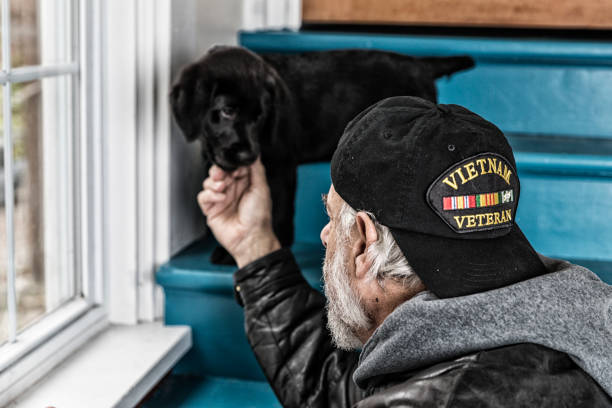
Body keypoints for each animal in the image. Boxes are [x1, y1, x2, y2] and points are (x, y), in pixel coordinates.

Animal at [170, 45, 476, 264]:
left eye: (260, 117)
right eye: (227, 112)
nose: (247, 156)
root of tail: (419, 63)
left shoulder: (282, 163)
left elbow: (281, 208)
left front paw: (278, 242)